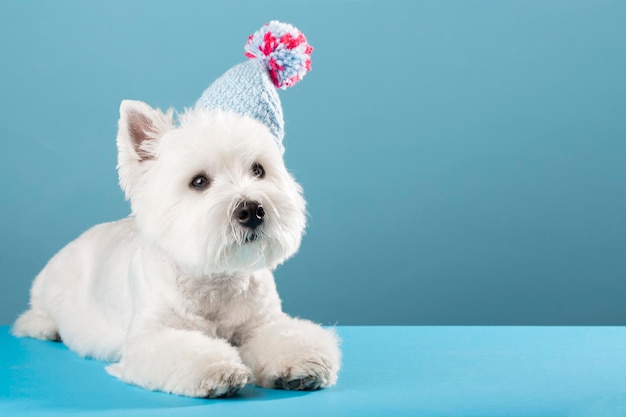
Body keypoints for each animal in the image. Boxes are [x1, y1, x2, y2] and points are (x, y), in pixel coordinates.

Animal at [11, 19, 342, 396]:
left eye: (258, 170)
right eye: (199, 181)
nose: (252, 211)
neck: (216, 280)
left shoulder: (262, 323)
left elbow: (286, 336)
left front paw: (303, 363)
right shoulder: (152, 337)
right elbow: (189, 351)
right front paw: (219, 369)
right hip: (51, 288)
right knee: (34, 314)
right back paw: (44, 326)